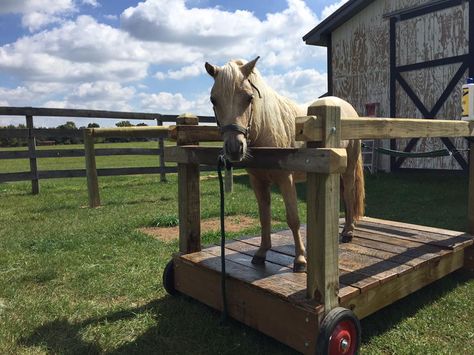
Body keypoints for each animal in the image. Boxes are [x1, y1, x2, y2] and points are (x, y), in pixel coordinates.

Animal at [206, 57, 364, 272]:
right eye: (213, 100)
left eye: (249, 98)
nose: (234, 148)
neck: (265, 127)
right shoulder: (258, 182)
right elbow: (264, 217)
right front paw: (261, 252)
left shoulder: (285, 180)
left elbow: (293, 219)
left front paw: (300, 259)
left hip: (348, 169)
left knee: (348, 193)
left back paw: (348, 231)